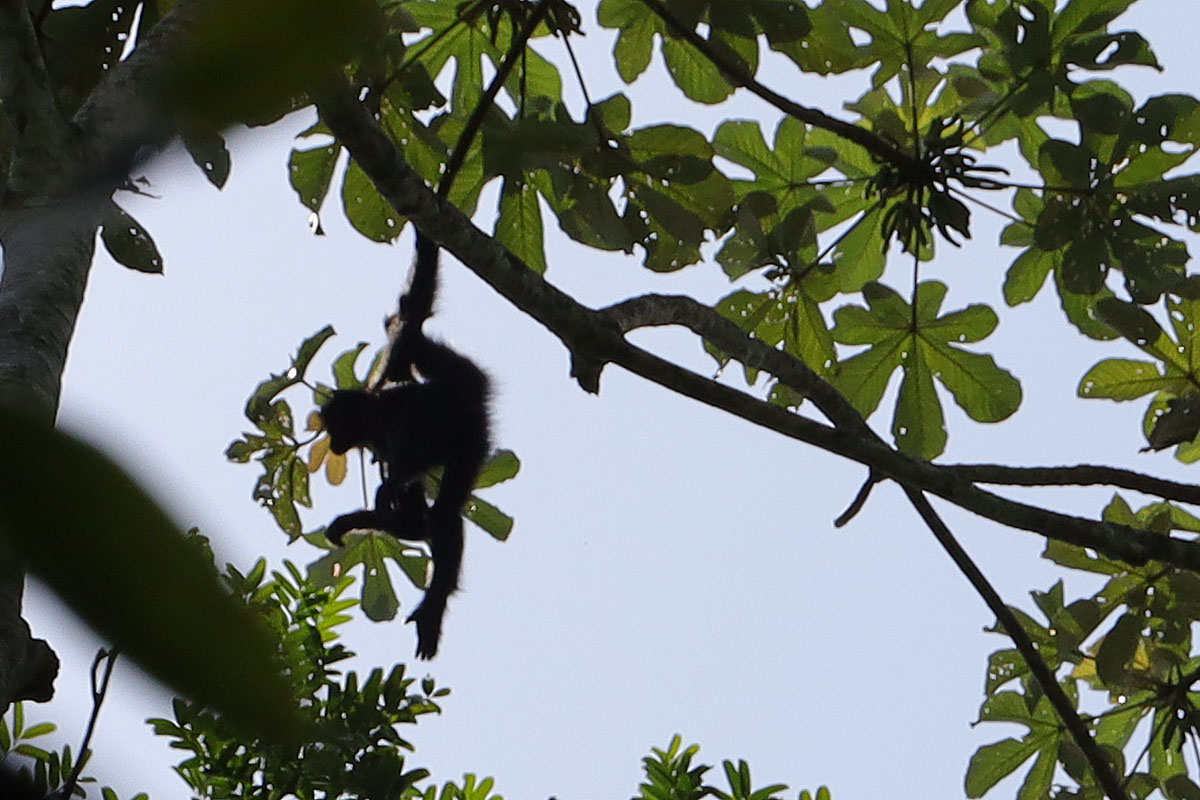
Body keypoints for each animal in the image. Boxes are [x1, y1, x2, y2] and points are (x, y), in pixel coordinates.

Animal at [321, 235, 489, 662]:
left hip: (468, 430)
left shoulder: (394, 433)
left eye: (333, 429)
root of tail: (467, 393)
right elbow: (413, 521)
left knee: (443, 516)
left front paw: (362, 512)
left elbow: (413, 513)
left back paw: (434, 607)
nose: (333, 445)